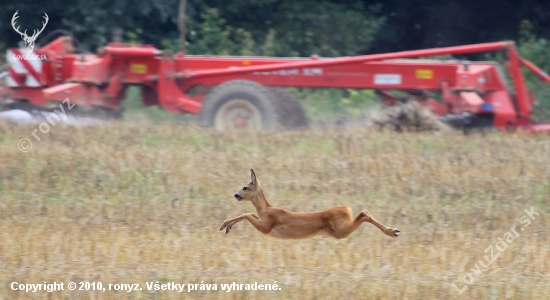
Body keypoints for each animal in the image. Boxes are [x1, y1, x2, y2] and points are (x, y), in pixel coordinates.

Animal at [220, 169, 402, 239]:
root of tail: (346, 209)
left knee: (363, 213)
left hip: (340, 231)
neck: (265, 209)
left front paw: (224, 225)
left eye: (245, 186)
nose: (236, 195)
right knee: (364, 212)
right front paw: (226, 226)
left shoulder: (267, 227)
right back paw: (393, 231)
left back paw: (393, 231)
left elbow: (246, 214)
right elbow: (249, 213)